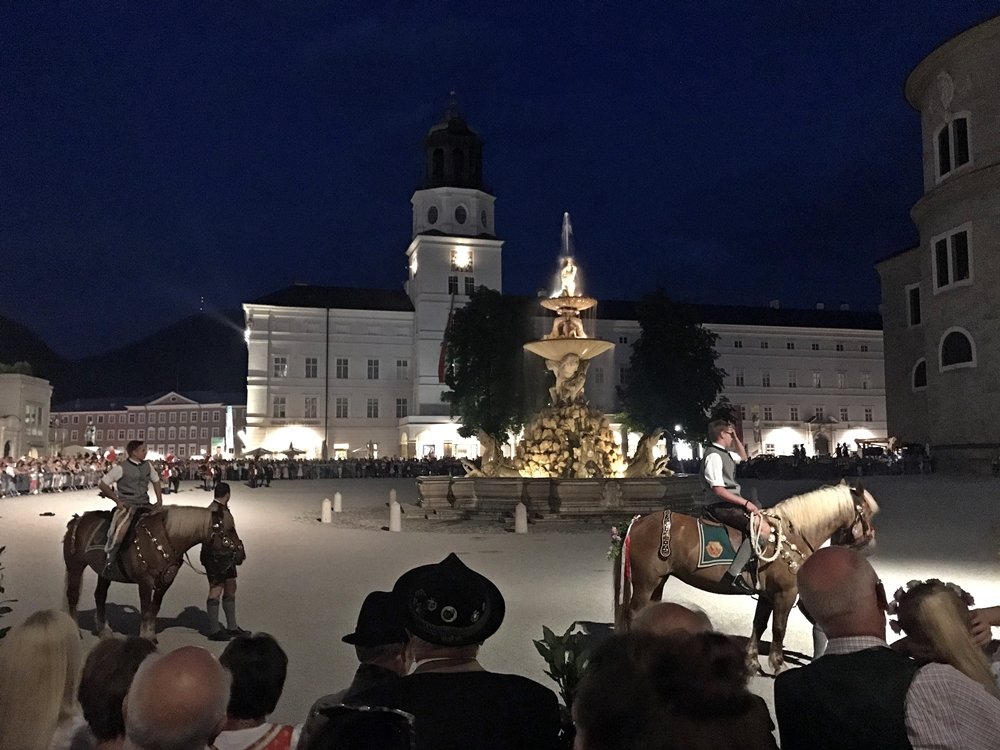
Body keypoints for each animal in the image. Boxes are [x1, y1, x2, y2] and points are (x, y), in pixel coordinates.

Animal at [63, 506, 242, 640]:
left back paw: (104, 630)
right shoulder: (145, 582)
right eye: (230, 528)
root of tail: (76, 520)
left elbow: (154, 608)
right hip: (75, 566)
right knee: (73, 596)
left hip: (104, 573)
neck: (164, 539)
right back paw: (76, 631)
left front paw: (150, 634)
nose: (242, 553)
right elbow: (145, 609)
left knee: (100, 596)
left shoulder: (165, 582)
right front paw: (146, 637)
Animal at [612, 488, 880, 676]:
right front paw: (777, 664)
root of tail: (637, 522)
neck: (789, 535)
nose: (870, 541)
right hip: (646, 583)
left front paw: (751, 661)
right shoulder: (785, 593)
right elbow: (778, 628)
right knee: (634, 614)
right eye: (865, 512)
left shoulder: (767, 594)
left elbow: (759, 624)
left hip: (658, 582)